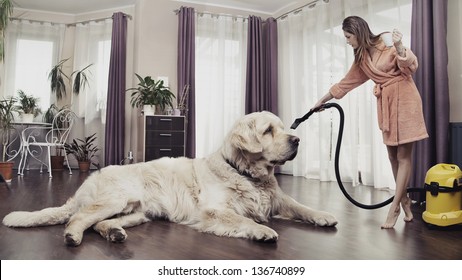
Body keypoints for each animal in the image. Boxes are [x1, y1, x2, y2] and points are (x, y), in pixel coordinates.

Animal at [1, 110, 338, 246]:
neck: (246, 173)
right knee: (79, 218)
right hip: (115, 199)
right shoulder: (214, 210)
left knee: (99, 224)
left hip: (136, 212)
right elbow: (242, 219)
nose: (297, 140)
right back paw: (73, 236)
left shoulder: (278, 199)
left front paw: (323, 215)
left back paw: (114, 234)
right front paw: (262, 230)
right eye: (268, 131)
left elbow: (300, 206)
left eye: (284, 128)